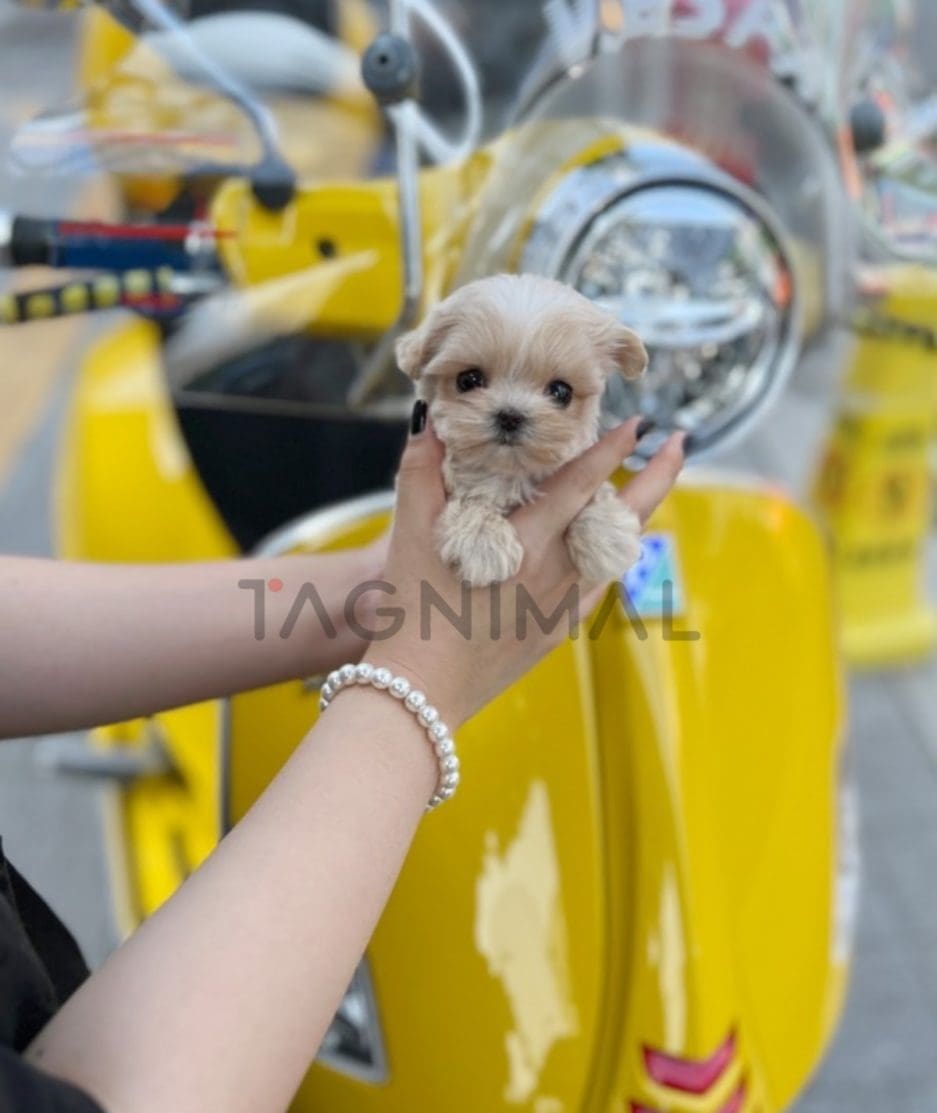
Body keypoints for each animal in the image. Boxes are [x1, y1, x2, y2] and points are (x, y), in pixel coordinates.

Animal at [391, 273, 640, 587]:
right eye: (468, 380)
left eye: (561, 392)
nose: (510, 416)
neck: (509, 474)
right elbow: (470, 499)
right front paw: (483, 541)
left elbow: (598, 493)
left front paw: (608, 534)